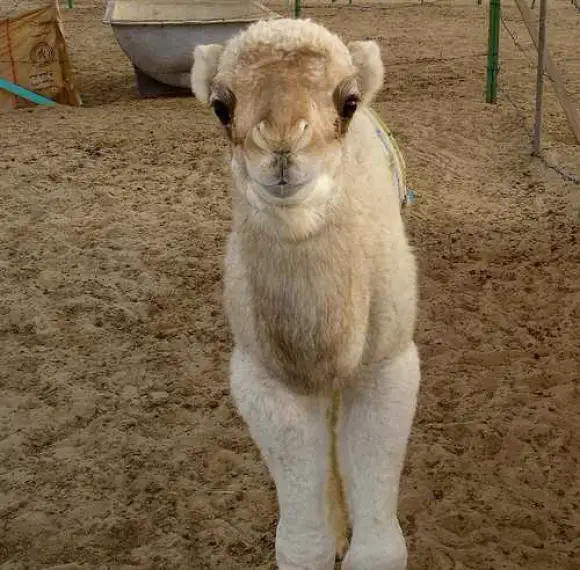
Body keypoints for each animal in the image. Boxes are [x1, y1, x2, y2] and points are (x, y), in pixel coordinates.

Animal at [193, 17, 420, 568]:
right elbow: (300, 542)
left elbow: (378, 549)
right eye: (220, 106)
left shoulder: (387, 365)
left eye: (349, 101)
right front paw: (329, 536)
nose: (280, 144)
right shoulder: (263, 378)